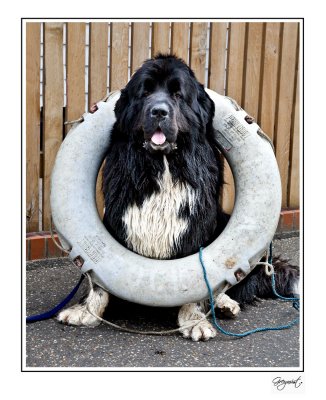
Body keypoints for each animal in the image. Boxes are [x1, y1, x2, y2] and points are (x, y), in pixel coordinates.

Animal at [58, 54, 298, 340]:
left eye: (178, 94)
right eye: (145, 92)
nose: (158, 111)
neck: (163, 166)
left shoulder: (196, 228)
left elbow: (201, 278)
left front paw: (194, 320)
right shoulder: (115, 224)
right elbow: (98, 279)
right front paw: (85, 310)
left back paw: (224, 304)